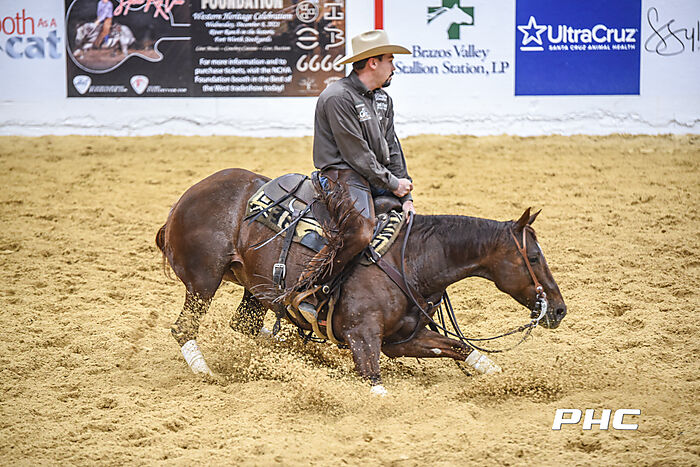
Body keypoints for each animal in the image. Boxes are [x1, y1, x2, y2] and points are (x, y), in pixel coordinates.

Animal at [155, 169, 567, 394]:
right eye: (533, 257)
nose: (560, 309)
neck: (410, 260)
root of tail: (181, 202)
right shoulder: (361, 336)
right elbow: (375, 383)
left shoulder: (404, 340)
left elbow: (460, 348)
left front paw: (498, 375)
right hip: (203, 282)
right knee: (182, 328)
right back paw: (208, 372)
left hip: (254, 289)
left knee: (243, 326)